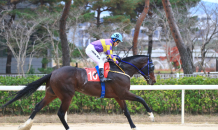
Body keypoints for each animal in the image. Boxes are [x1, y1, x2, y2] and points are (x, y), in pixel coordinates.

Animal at [0, 54, 156, 130]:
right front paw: (151, 116)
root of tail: (53, 72)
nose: (153, 81)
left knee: (38, 106)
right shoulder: (123, 93)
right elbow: (141, 99)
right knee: (60, 113)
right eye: (153, 67)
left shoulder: (118, 96)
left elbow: (126, 112)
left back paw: (25, 126)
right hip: (67, 95)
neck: (120, 70)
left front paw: (134, 127)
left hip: (52, 94)